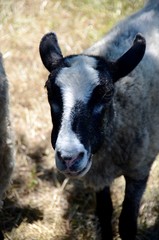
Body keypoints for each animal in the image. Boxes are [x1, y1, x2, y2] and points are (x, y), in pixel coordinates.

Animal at [39, 0, 159, 239]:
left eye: (107, 94)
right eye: (49, 91)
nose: (69, 158)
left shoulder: (139, 171)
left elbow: (127, 223)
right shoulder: (98, 174)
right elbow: (104, 213)